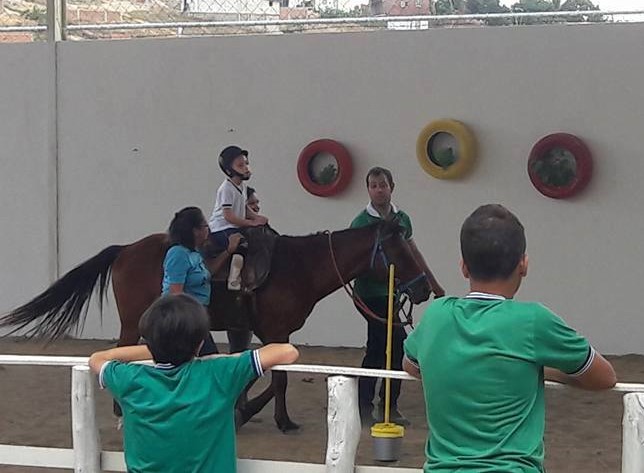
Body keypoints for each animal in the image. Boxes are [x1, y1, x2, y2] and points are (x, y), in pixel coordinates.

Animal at [2, 218, 432, 432]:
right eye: (399, 249)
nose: (424, 288)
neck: (298, 266)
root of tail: (126, 250)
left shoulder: (261, 332)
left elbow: (255, 374)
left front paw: (244, 410)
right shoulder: (276, 332)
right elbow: (279, 381)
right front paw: (280, 420)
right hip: (131, 322)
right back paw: (121, 412)